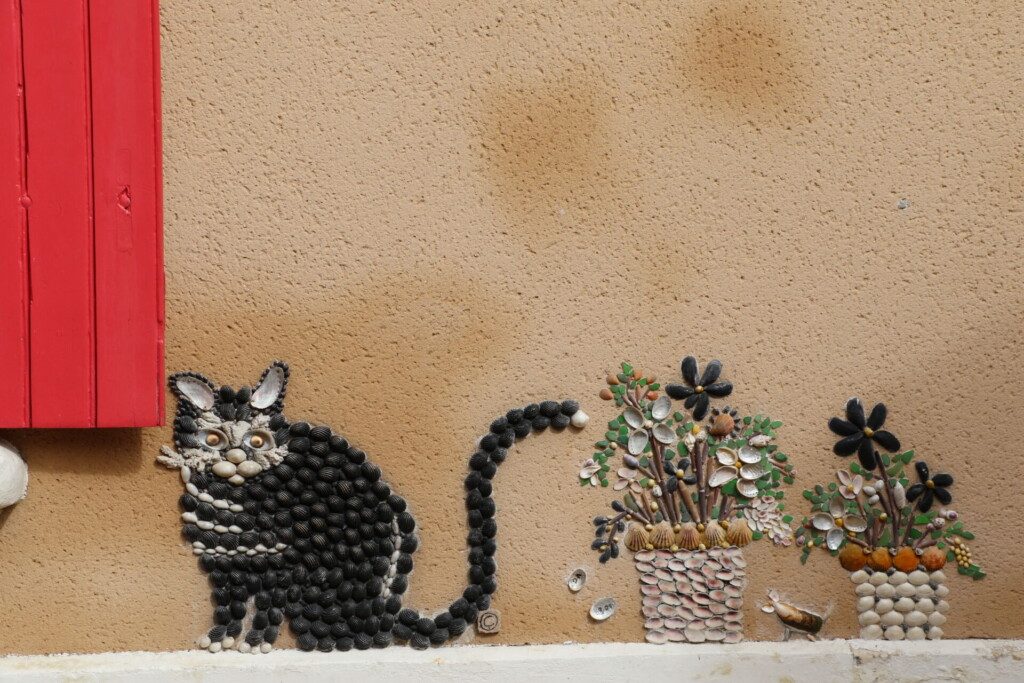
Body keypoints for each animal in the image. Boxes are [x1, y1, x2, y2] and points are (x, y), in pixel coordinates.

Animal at [156, 360, 589, 655]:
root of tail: (386, 614)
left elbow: (263, 611)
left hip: (316, 588)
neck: (236, 490)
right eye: (213, 439)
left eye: (258, 442)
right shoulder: (224, 568)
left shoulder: (279, 568)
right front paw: (222, 641)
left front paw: (255, 642)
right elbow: (227, 611)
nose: (234, 457)